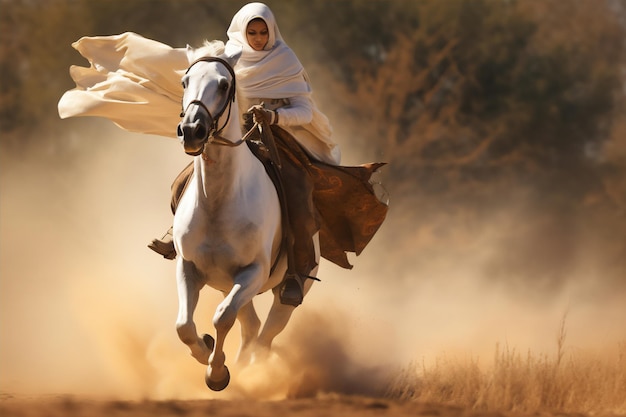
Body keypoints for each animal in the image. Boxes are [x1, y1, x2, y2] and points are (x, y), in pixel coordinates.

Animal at [171, 42, 316, 390]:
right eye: (185, 81)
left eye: (224, 84)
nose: (192, 131)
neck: (218, 203)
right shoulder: (188, 267)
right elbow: (184, 325)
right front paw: (206, 350)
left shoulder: (253, 272)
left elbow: (222, 317)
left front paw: (216, 373)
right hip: (232, 286)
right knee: (251, 326)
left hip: (288, 288)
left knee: (266, 333)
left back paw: (254, 371)